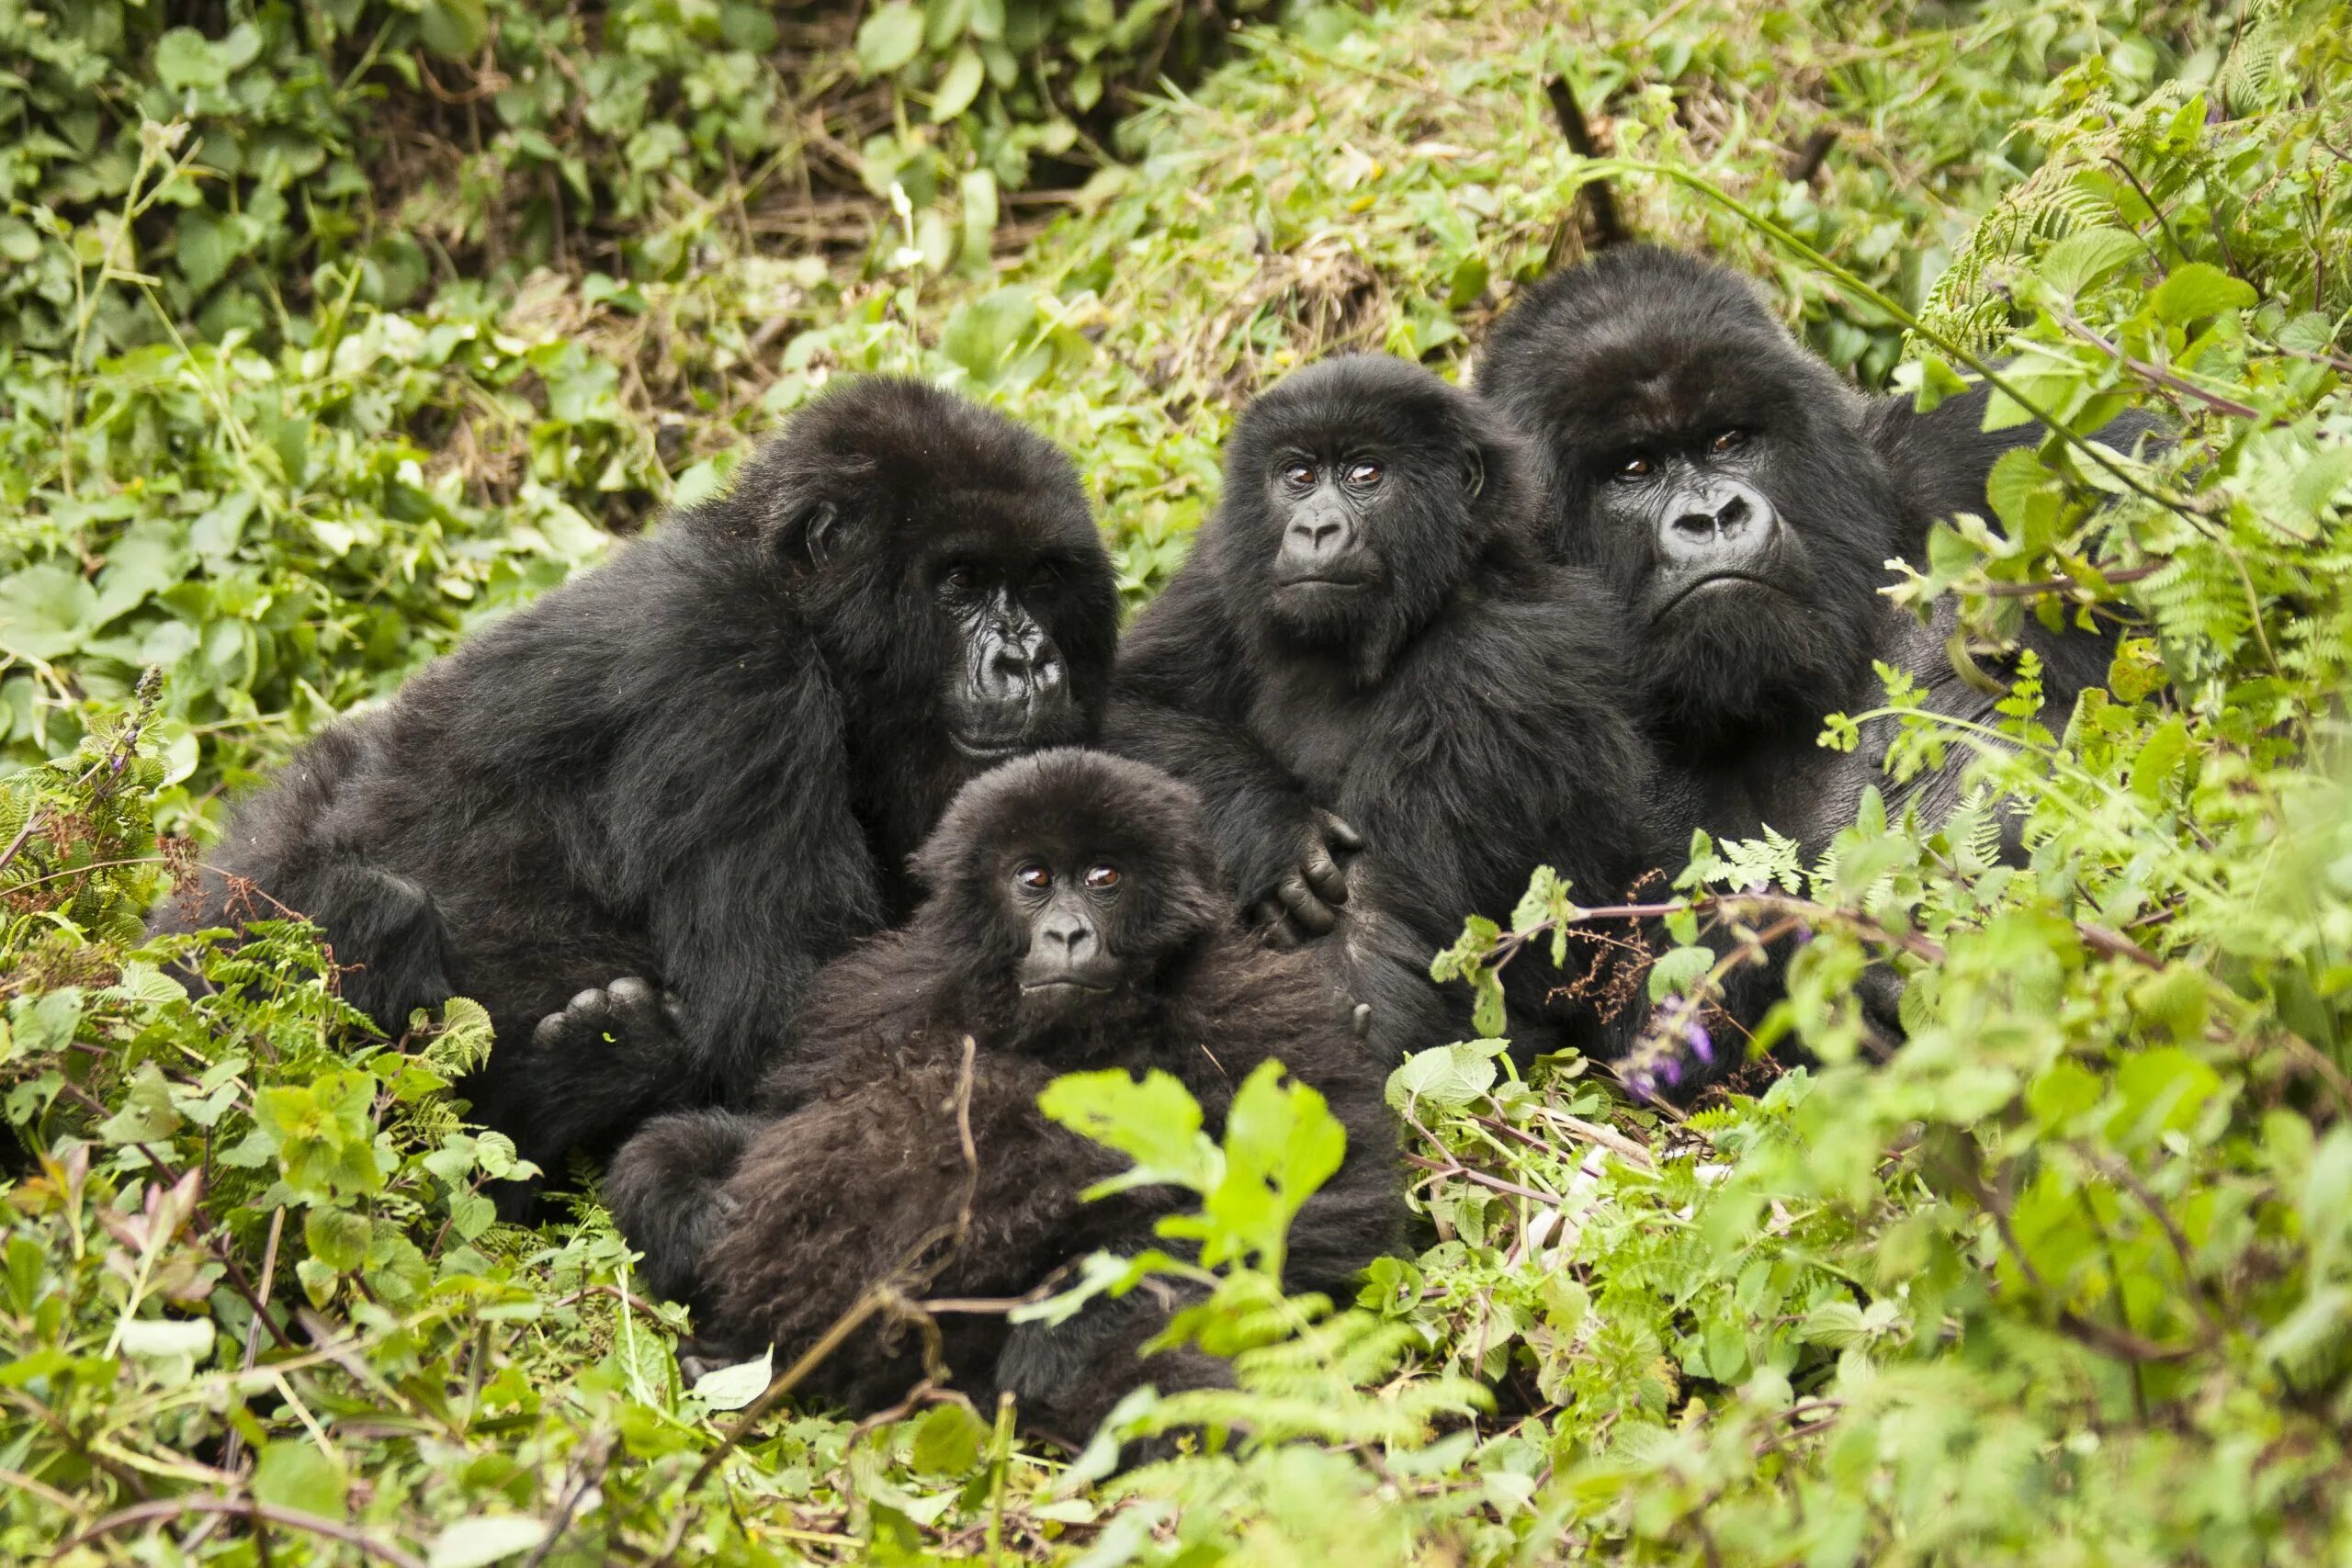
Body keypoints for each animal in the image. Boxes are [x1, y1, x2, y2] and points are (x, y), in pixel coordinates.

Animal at [163, 380, 1119, 1203]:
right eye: (961, 582)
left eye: (1042, 580)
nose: (1028, 660)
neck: (796, 603)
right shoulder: (729, 669)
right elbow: (782, 1013)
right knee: (370, 907)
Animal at [611, 751, 1411, 1448]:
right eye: (1034, 877)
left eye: (1104, 876)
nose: (1067, 931)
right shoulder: (880, 996)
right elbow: (775, 1125)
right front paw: (690, 1205)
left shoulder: (1251, 1008)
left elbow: (1326, 1196)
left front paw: (1071, 1324)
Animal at [1101, 355, 1674, 1062]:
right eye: (1299, 476)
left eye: (1365, 474)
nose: (1314, 528)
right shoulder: (1221, 575)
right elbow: (1122, 710)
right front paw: (1269, 824)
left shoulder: (1502, 659)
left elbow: (1373, 940)